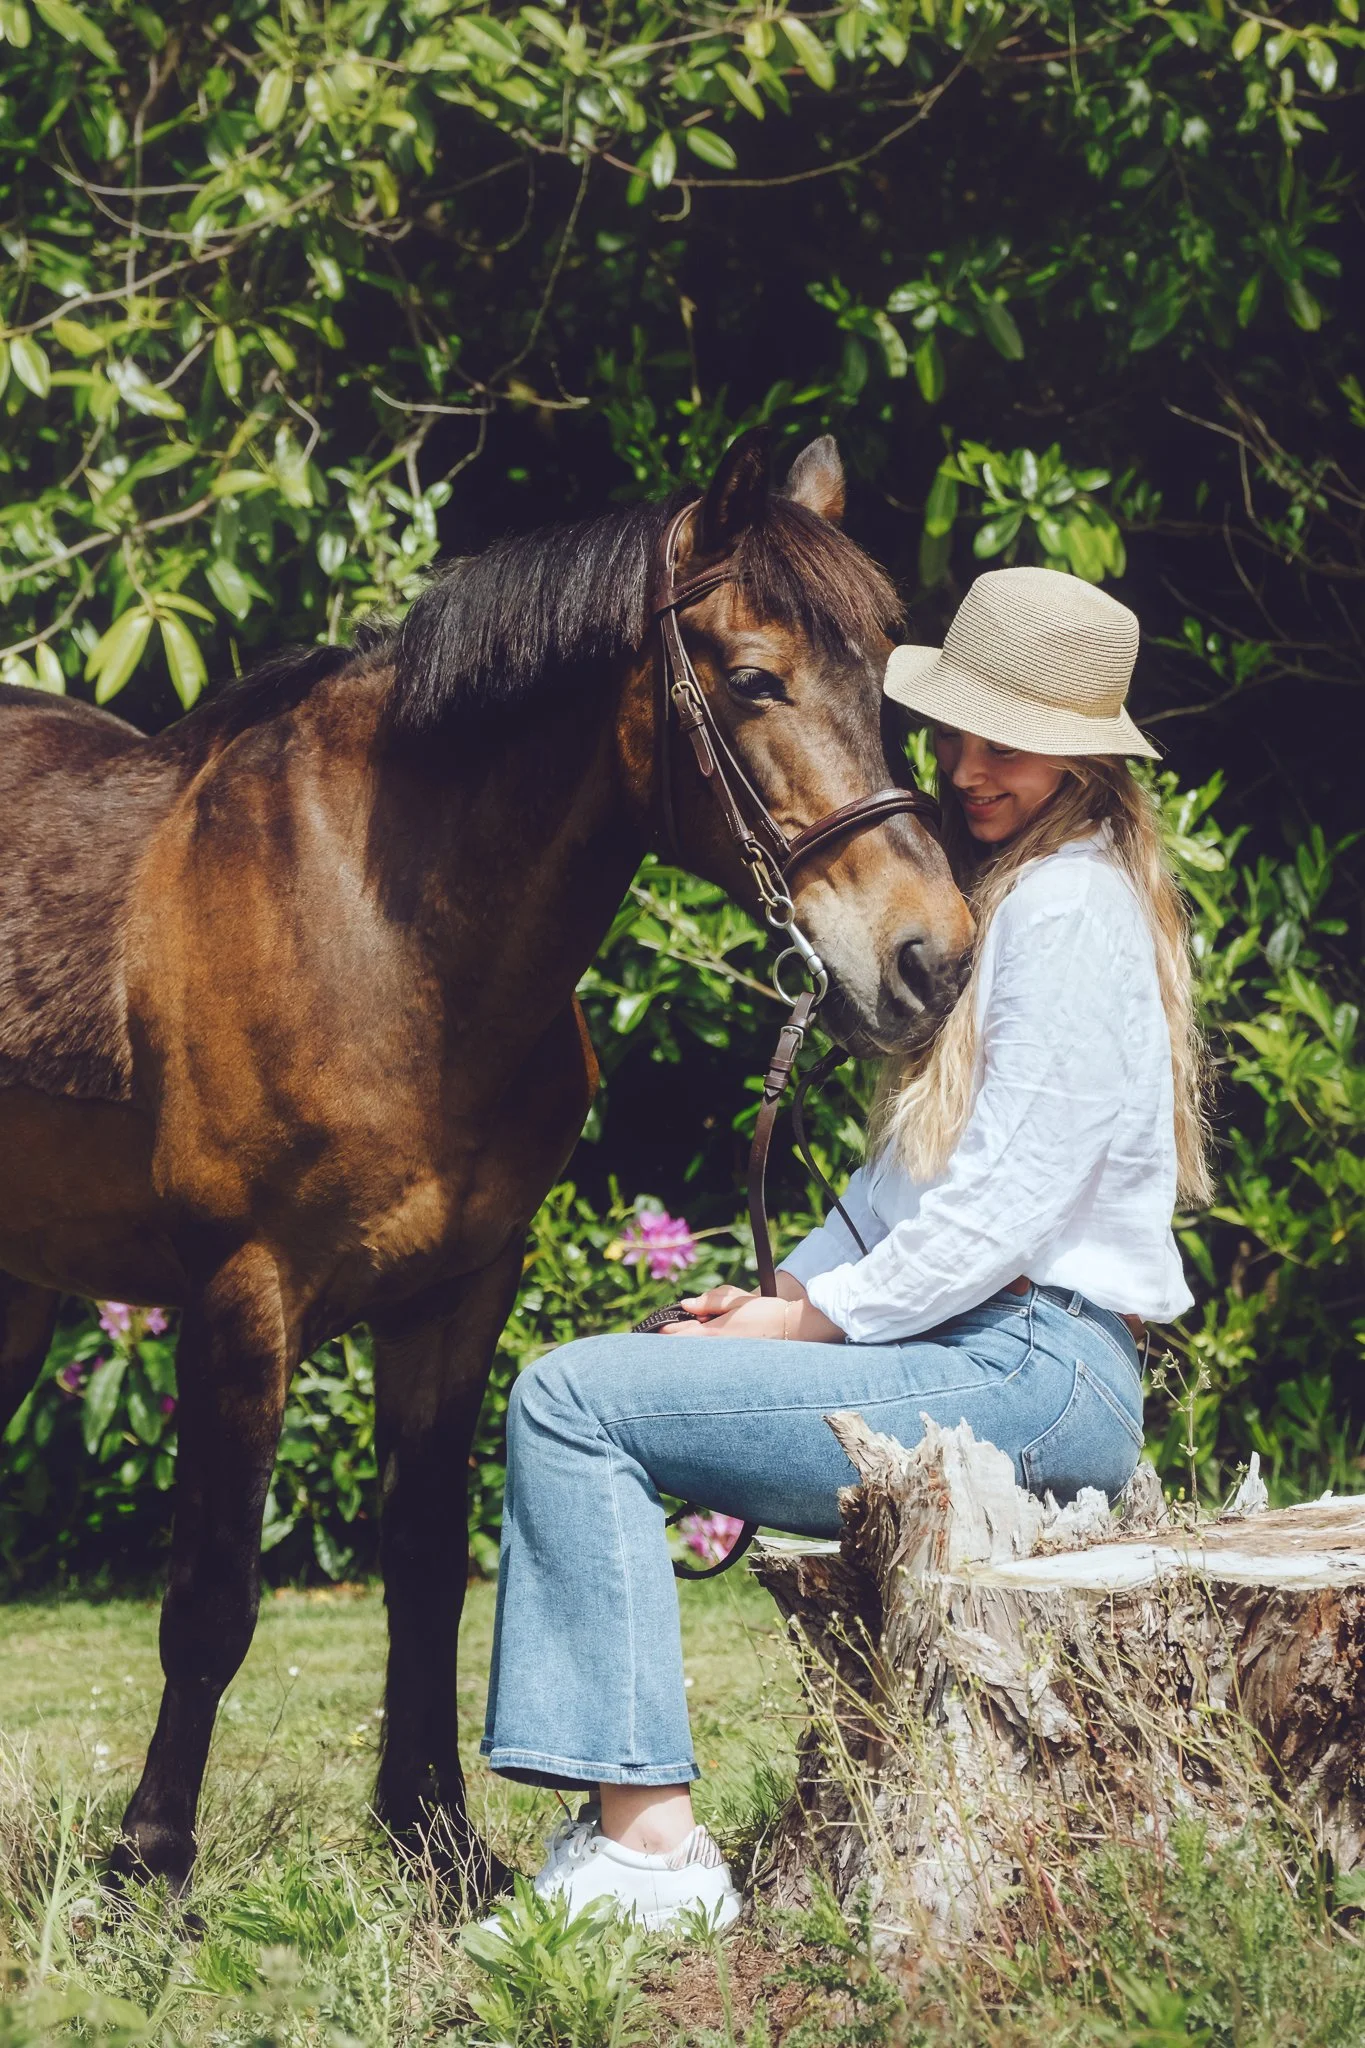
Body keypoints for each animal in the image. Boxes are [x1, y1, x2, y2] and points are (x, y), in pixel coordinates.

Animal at [0, 430, 972, 1900]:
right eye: (753, 678)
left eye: (877, 667)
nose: (933, 956)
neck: (379, 931)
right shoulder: (241, 1297)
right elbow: (213, 1598)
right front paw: (149, 1865)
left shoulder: (454, 1294)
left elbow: (421, 1572)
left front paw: (436, 1839)